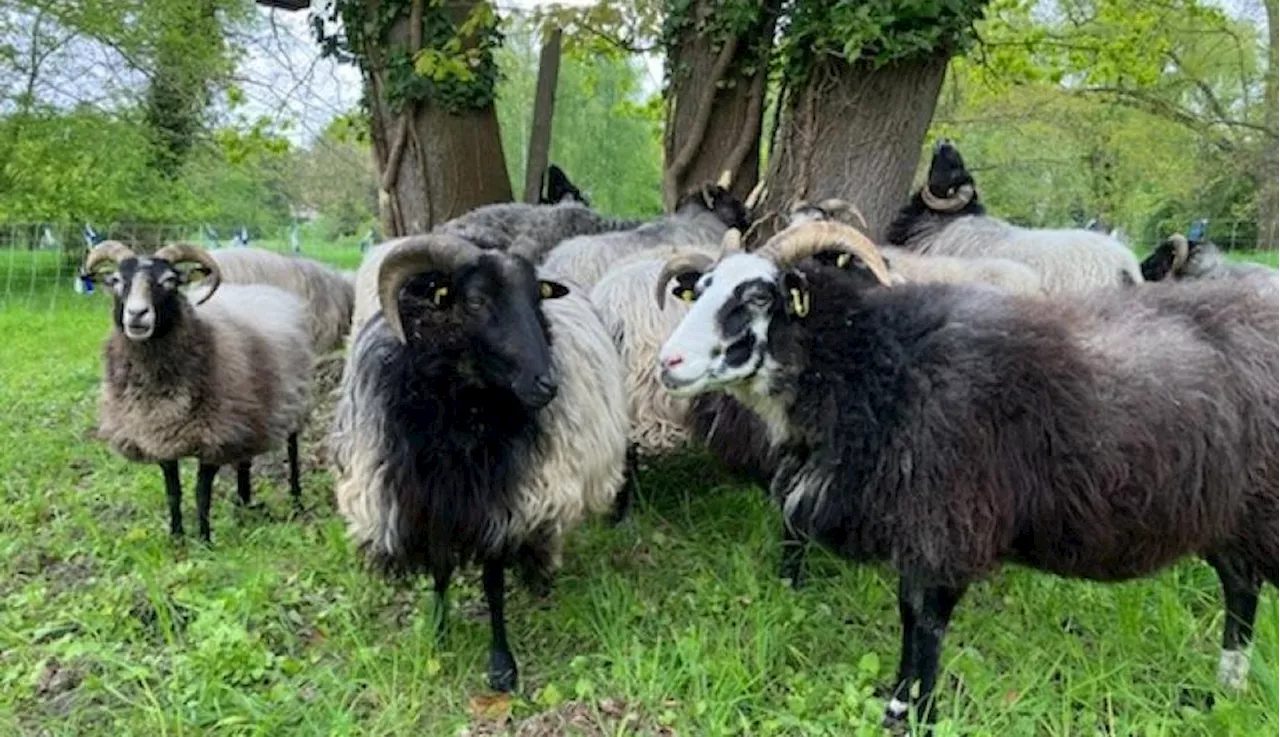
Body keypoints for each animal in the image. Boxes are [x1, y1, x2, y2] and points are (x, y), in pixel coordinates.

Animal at [84, 241, 312, 542]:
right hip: (250, 411)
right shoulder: (160, 436)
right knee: (245, 459)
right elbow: (173, 493)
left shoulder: (213, 436)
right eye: (116, 281)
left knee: (293, 449)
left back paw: (296, 498)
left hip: (292, 401)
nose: (136, 315)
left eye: (170, 281)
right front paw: (177, 537)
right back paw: (243, 503)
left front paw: (205, 540)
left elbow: (201, 494)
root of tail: (271, 291)